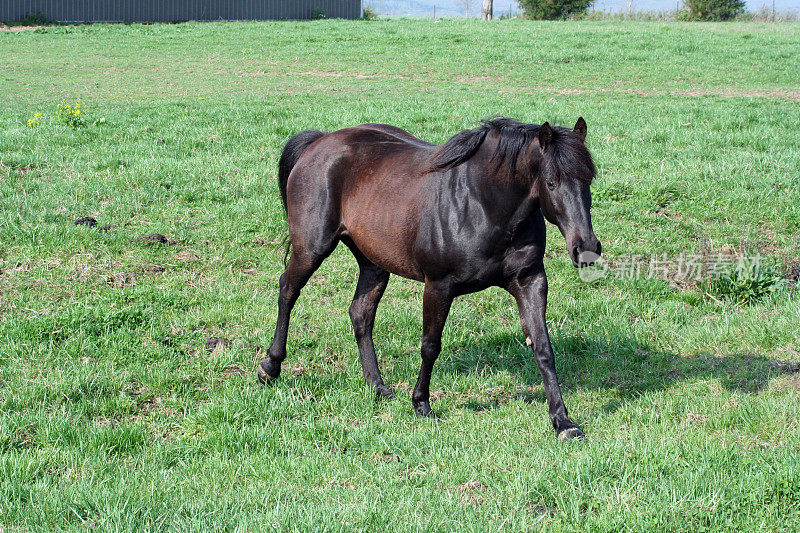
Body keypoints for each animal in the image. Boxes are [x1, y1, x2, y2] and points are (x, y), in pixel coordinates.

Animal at [258, 118, 600, 438]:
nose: (586, 248)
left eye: (589, 178)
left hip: (373, 263)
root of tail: (320, 141)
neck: (483, 205)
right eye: (551, 182)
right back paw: (270, 367)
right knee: (287, 290)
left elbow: (543, 348)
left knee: (360, 314)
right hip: (312, 249)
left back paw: (377, 386)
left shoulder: (530, 282)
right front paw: (421, 403)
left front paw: (563, 421)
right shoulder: (439, 286)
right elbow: (430, 345)